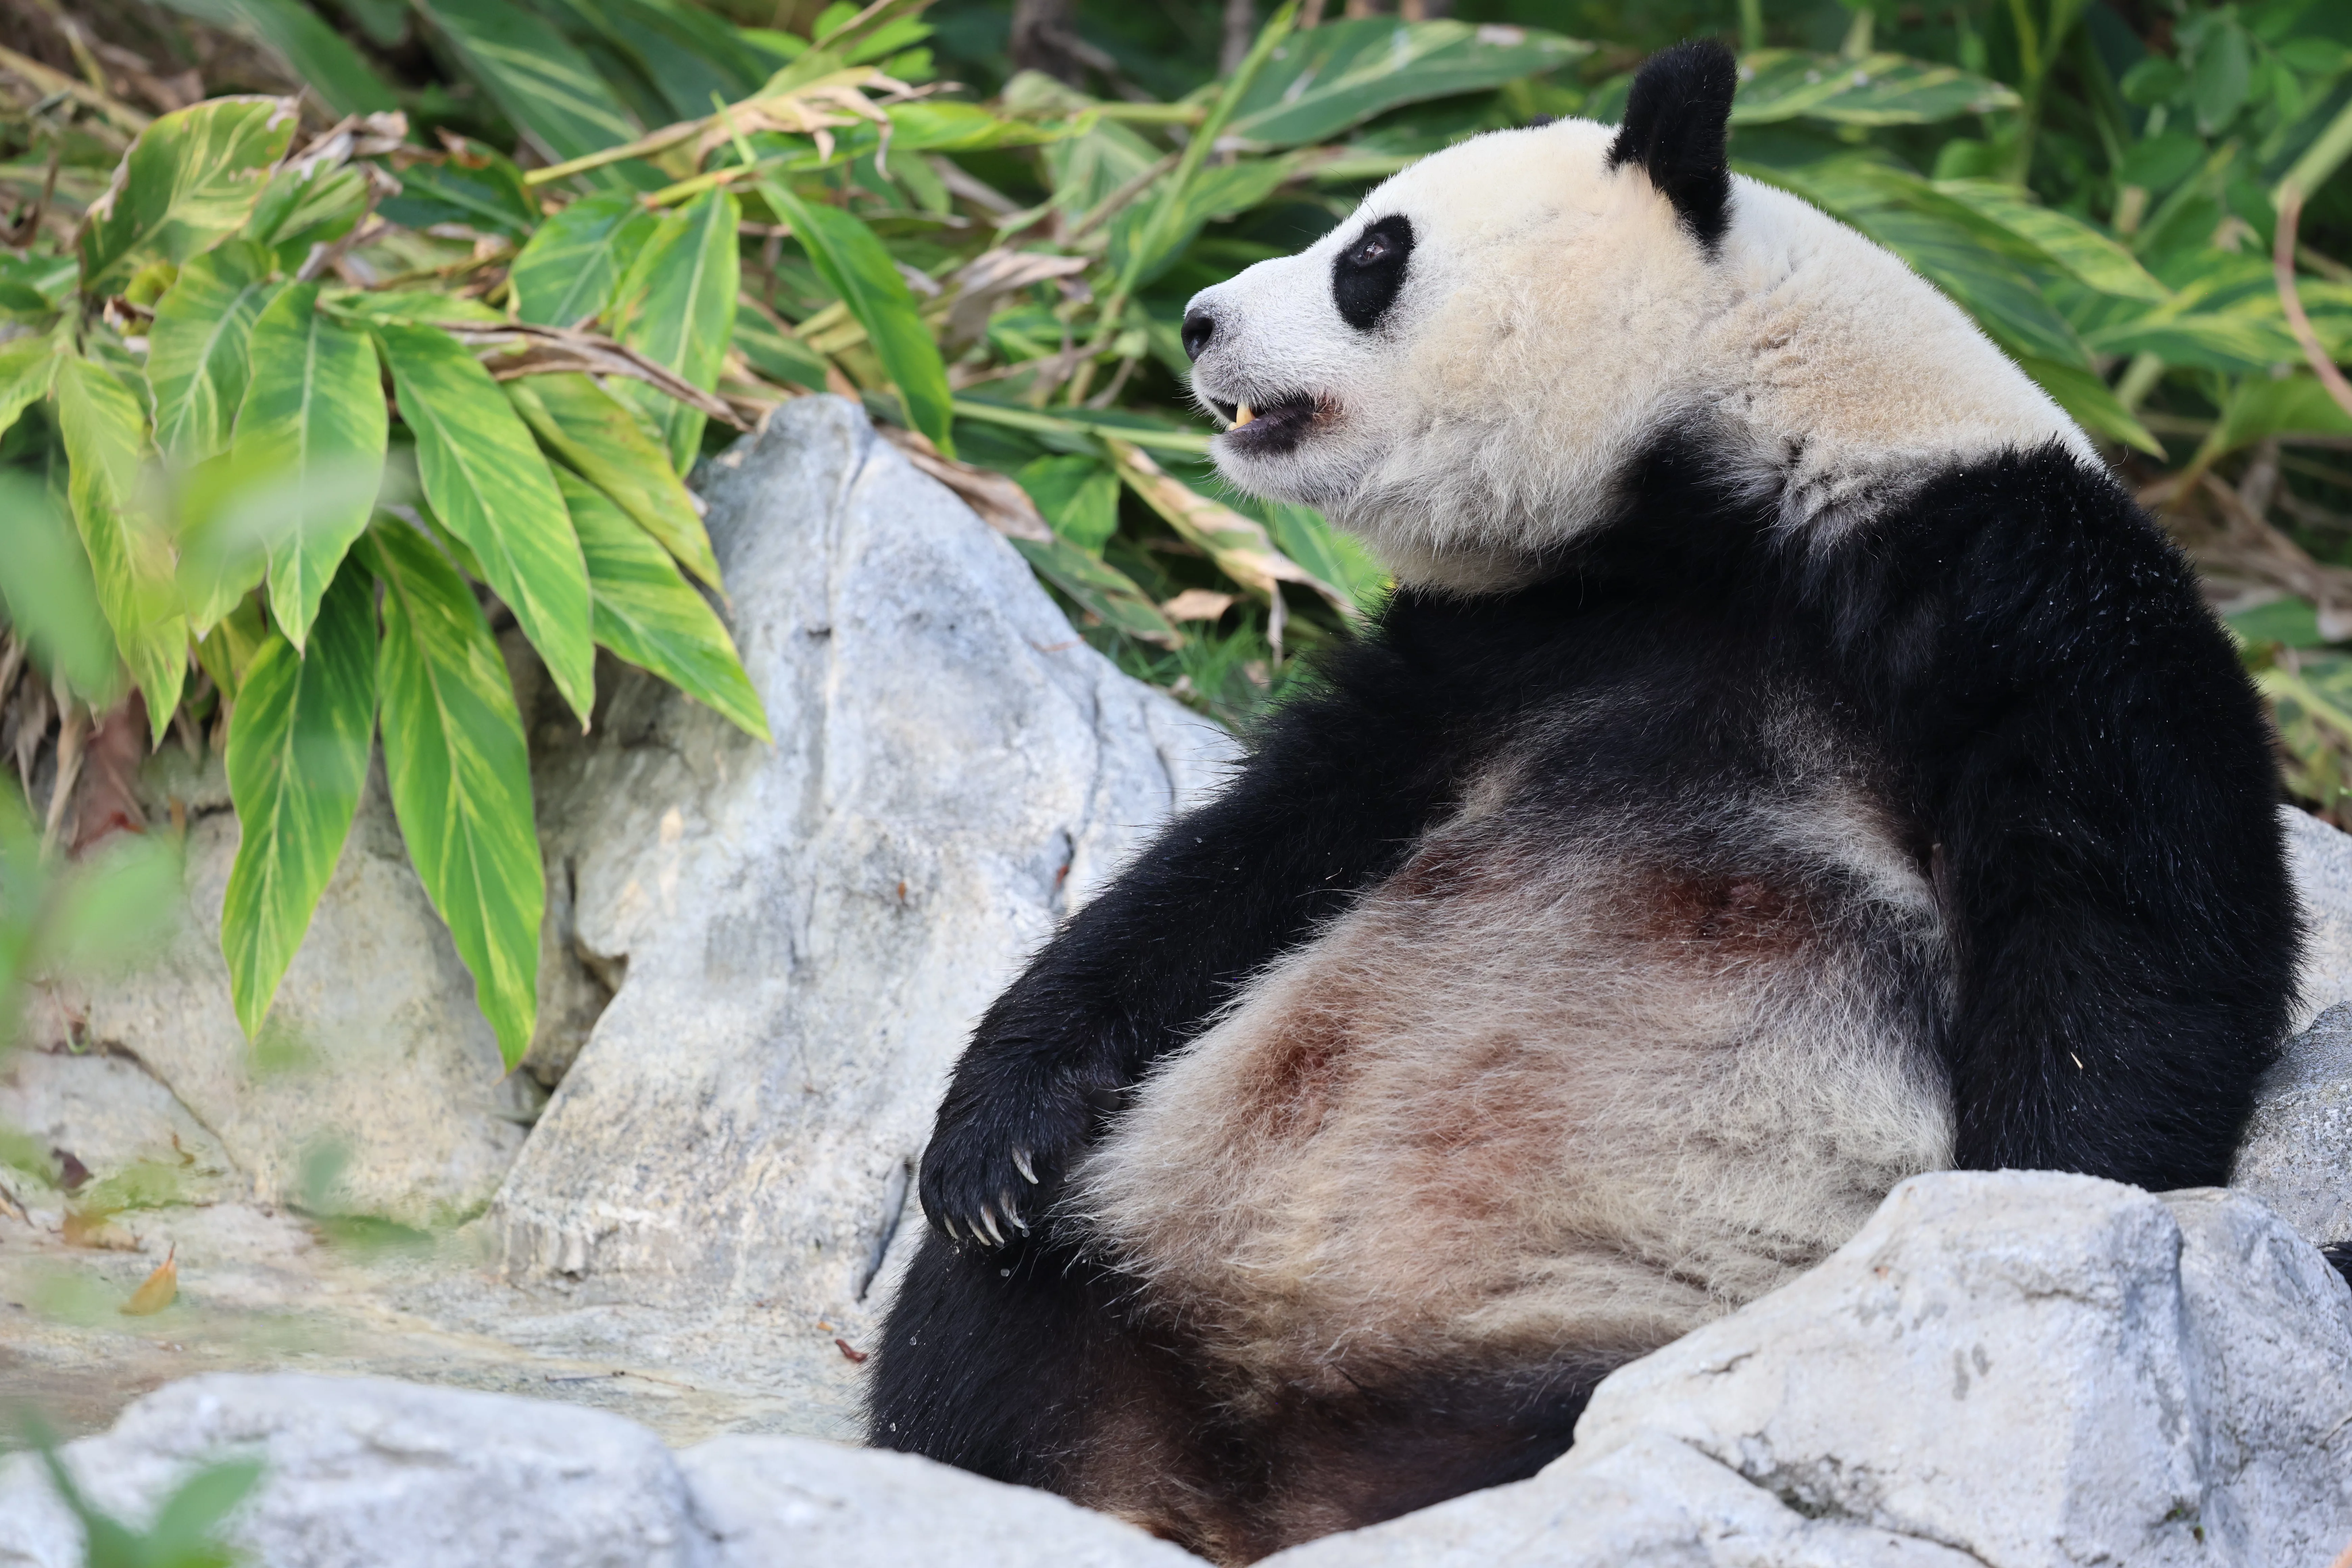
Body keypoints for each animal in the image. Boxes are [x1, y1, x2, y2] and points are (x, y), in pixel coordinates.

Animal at [868, 38, 2304, 1565]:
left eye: (1371, 253)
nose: (1198, 320)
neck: (1720, 510)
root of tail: (1264, 1485)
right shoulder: (1498, 651)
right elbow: (1253, 857)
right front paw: (993, 1145)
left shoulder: (2023, 598)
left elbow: (2128, 956)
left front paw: (2018, 1223)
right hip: (1132, 1248)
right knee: (980, 1335)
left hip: (1618, 1338)